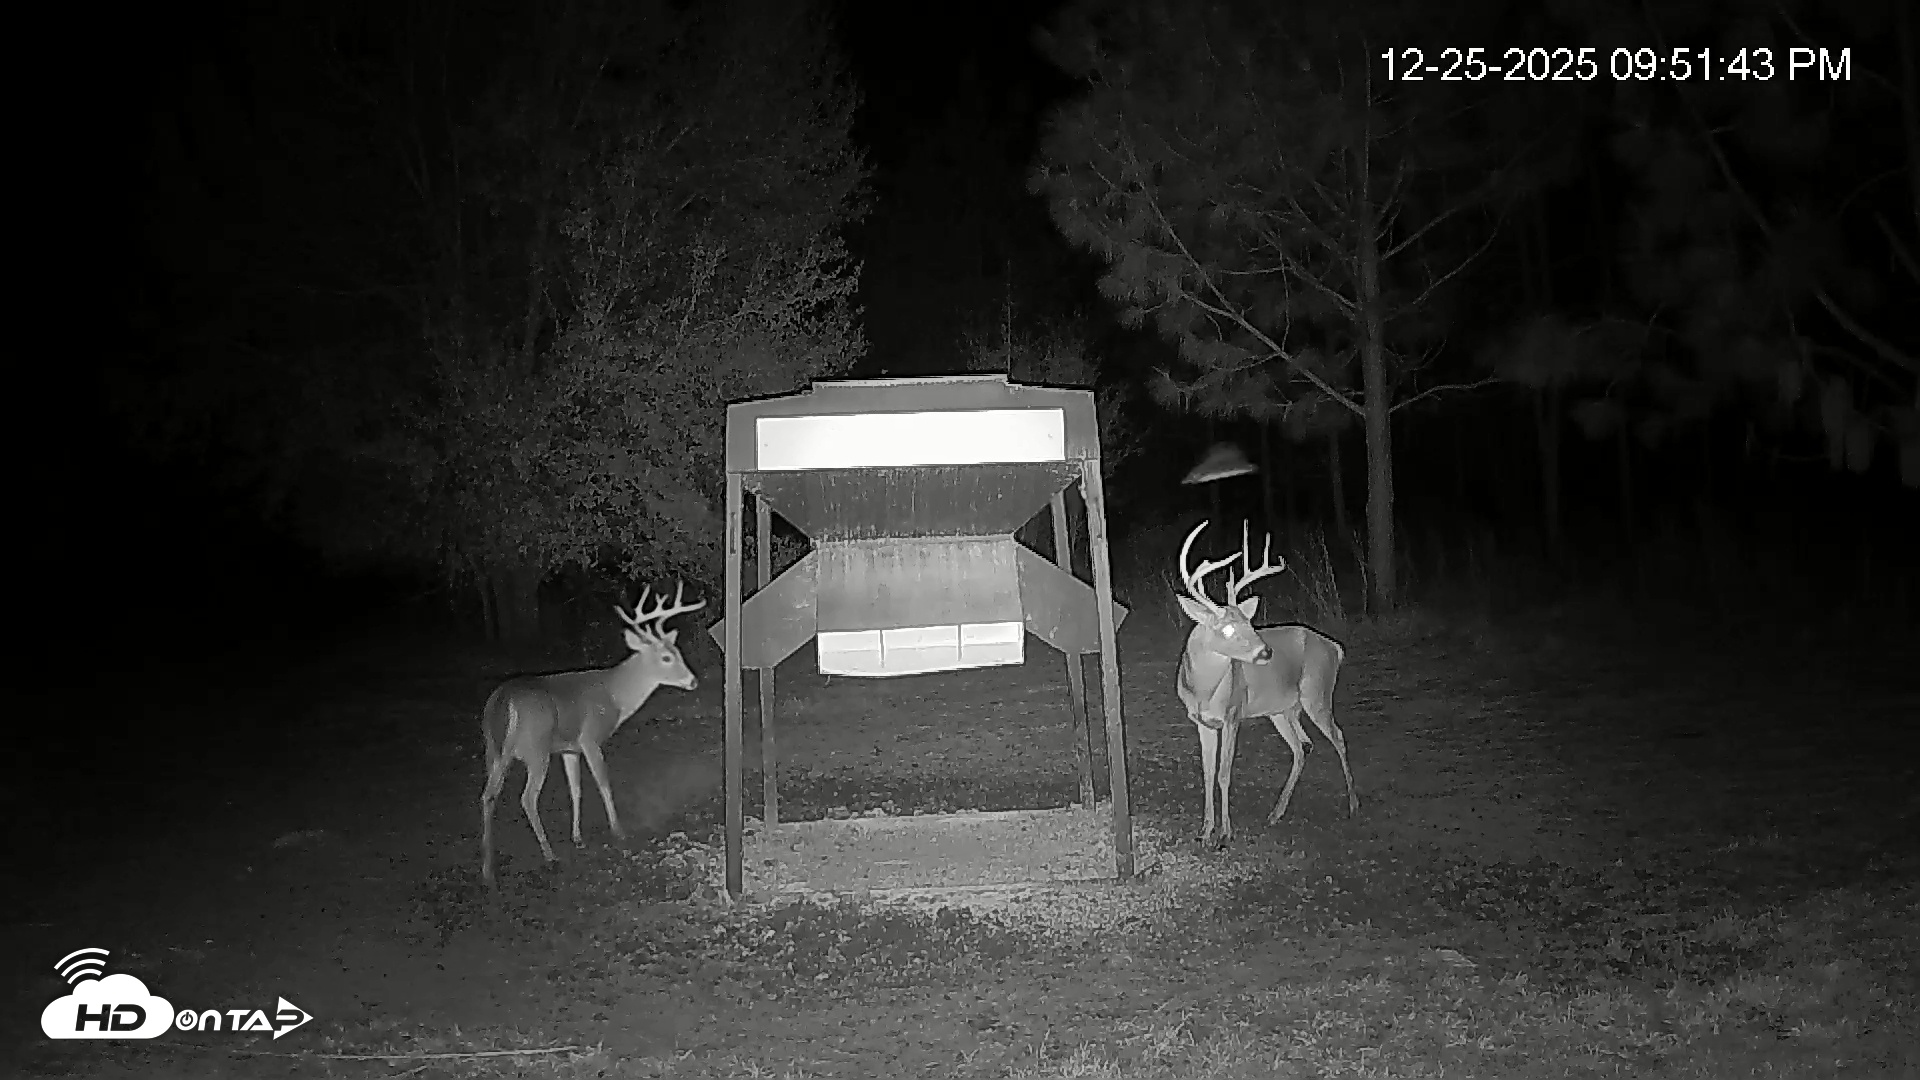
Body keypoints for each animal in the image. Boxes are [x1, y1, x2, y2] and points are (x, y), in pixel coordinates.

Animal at [480, 581, 706, 886]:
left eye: (679, 652)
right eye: (667, 657)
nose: (692, 681)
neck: (615, 695)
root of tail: (505, 701)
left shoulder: (569, 748)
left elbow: (576, 789)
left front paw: (577, 837)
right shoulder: (590, 737)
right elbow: (603, 783)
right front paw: (618, 831)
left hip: (492, 748)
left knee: (488, 795)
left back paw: (487, 870)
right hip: (535, 749)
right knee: (527, 798)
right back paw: (549, 856)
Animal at [1174, 520, 1358, 847]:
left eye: (1250, 623)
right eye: (1228, 628)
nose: (1265, 652)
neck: (1204, 691)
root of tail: (1335, 648)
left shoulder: (1233, 714)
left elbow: (1224, 773)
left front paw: (1225, 834)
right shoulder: (1201, 721)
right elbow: (1207, 773)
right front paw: (1205, 832)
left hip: (1316, 692)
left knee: (1337, 736)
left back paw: (1352, 806)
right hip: (1282, 709)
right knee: (1302, 746)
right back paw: (1275, 813)